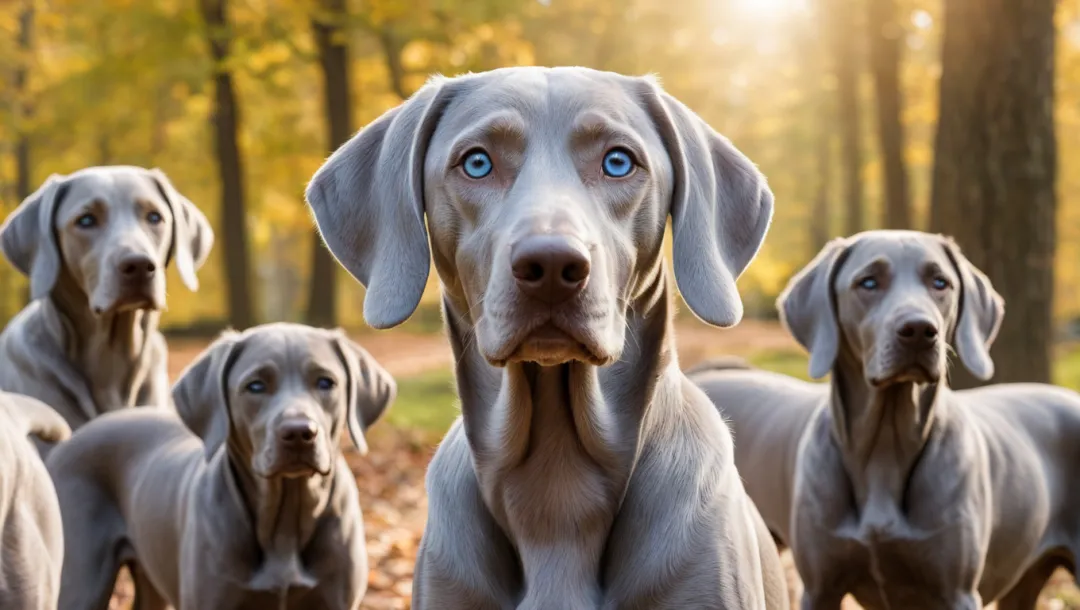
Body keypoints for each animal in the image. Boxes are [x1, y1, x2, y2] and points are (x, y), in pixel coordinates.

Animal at [47, 321, 397, 604]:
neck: (283, 526)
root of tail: (67, 442)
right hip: (79, 581)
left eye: (326, 382)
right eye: (255, 386)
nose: (299, 433)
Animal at [686, 229, 1080, 608]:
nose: (919, 330)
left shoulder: (957, 592)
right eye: (868, 282)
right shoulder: (820, 588)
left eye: (940, 282)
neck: (884, 450)